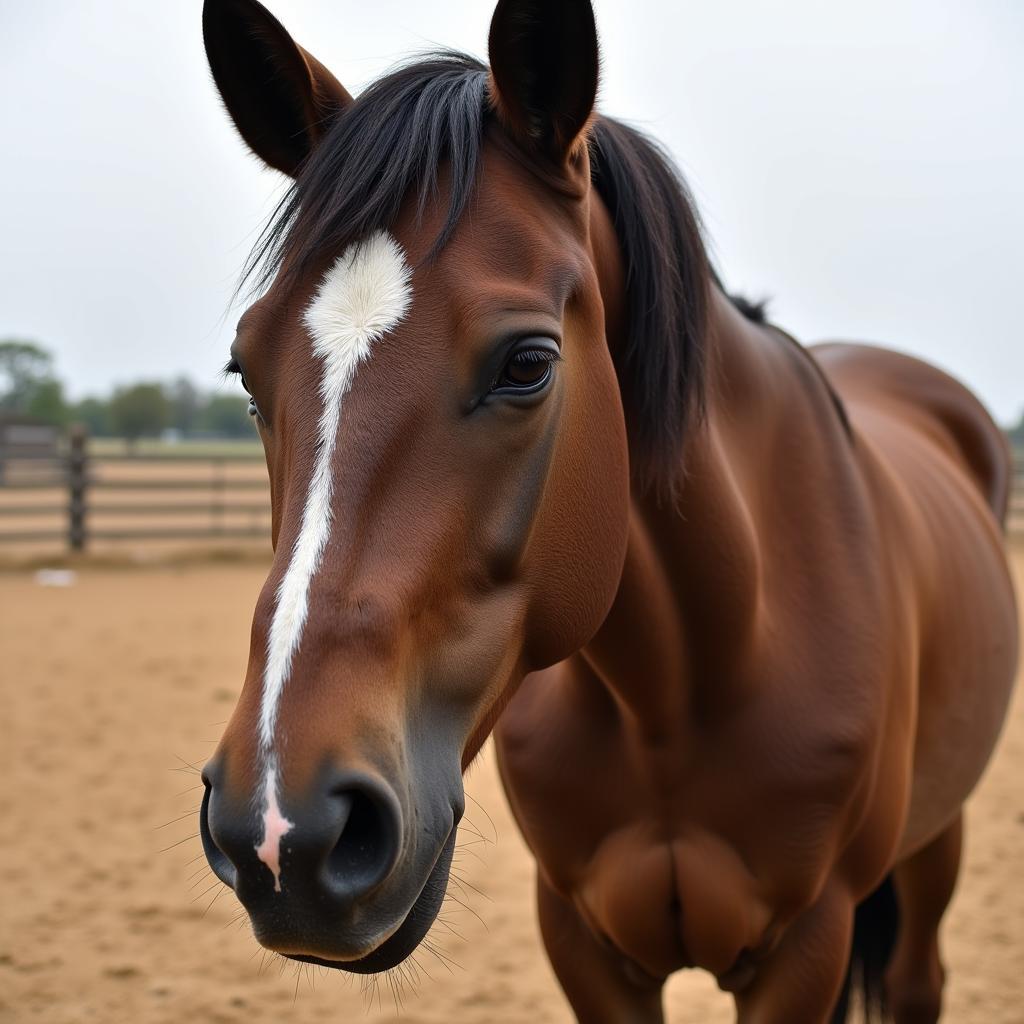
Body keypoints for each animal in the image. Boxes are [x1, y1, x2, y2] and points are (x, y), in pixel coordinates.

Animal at [197, 2, 1015, 1015]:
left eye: (527, 364)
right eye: (247, 371)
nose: (283, 830)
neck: (682, 688)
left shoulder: (808, 946)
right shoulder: (582, 941)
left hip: (936, 840)